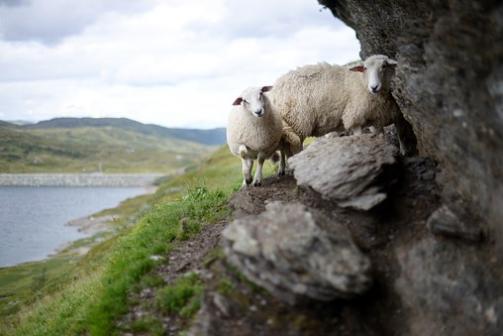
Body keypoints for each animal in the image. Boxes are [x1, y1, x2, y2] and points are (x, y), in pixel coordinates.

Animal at [272, 54, 418, 156]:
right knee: (294, 147)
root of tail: (276, 87)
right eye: (365, 68)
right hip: (297, 122)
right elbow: (360, 137)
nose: (374, 87)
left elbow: (392, 136)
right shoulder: (354, 117)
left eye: (384, 66)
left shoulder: (380, 117)